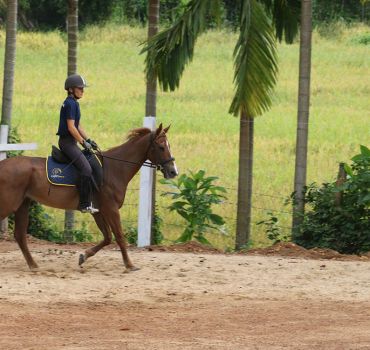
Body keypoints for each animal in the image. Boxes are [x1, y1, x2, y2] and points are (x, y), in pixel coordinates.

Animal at [0, 123, 178, 270]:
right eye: (161, 147)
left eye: (169, 145)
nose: (173, 171)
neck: (115, 168)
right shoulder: (111, 209)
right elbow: (119, 236)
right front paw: (130, 265)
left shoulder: (98, 211)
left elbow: (107, 237)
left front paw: (83, 256)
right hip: (9, 204)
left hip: (23, 204)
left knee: (20, 236)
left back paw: (34, 265)